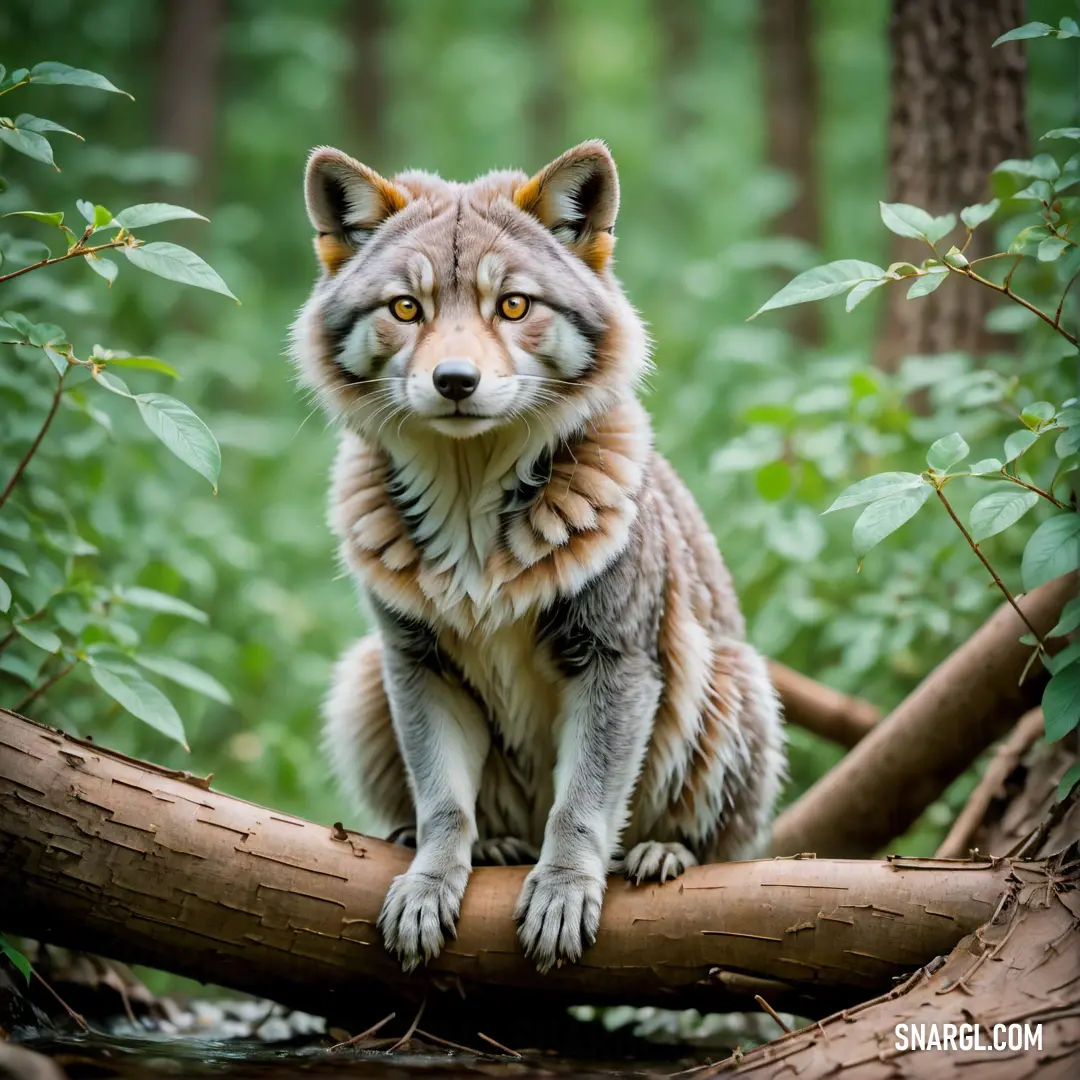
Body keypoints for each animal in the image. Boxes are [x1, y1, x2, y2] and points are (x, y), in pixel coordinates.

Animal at [291, 139, 790, 976]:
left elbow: (580, 807)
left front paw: (562, 893)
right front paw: (429, 885)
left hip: (728, 680)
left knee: (723, 845)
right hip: (359, 679)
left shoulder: (616, 660)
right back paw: (491, 844)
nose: (454, 382)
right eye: (405, 308)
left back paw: (663, 854)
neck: (471, 505)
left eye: (515, 306)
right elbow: (443, 803)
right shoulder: (412, 661)